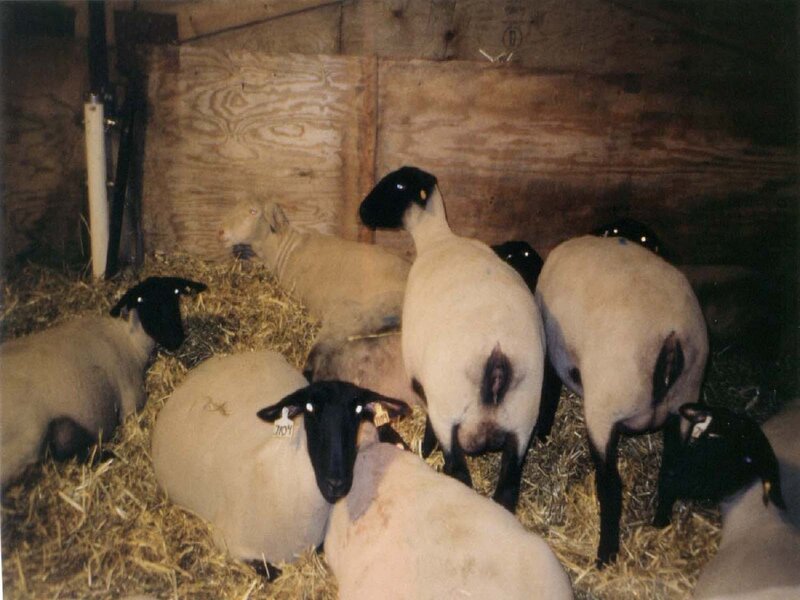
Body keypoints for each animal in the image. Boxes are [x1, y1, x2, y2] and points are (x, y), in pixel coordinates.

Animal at [0, 277, 206, 488]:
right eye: (142, 301)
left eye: (175, 294)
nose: (176, 339)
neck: (131, 342)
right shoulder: (131, 405)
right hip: (27, 441)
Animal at [358, 166, 546, 512]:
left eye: (398, 185)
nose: (361, 211)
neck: (438, 239)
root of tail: (496, 359)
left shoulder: (422, 383)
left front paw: (425, 447)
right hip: (523, 418)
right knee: (507, 488)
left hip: (451, 410)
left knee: (458, 471)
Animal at [535, 235, 708, 566]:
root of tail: (670, 337)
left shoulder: (551, 354)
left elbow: (548, 394)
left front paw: (541, 435)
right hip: (685, 400)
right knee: (672, 468)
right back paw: (660, 524)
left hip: (606, 406)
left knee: (611, 487)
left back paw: (605, 555)